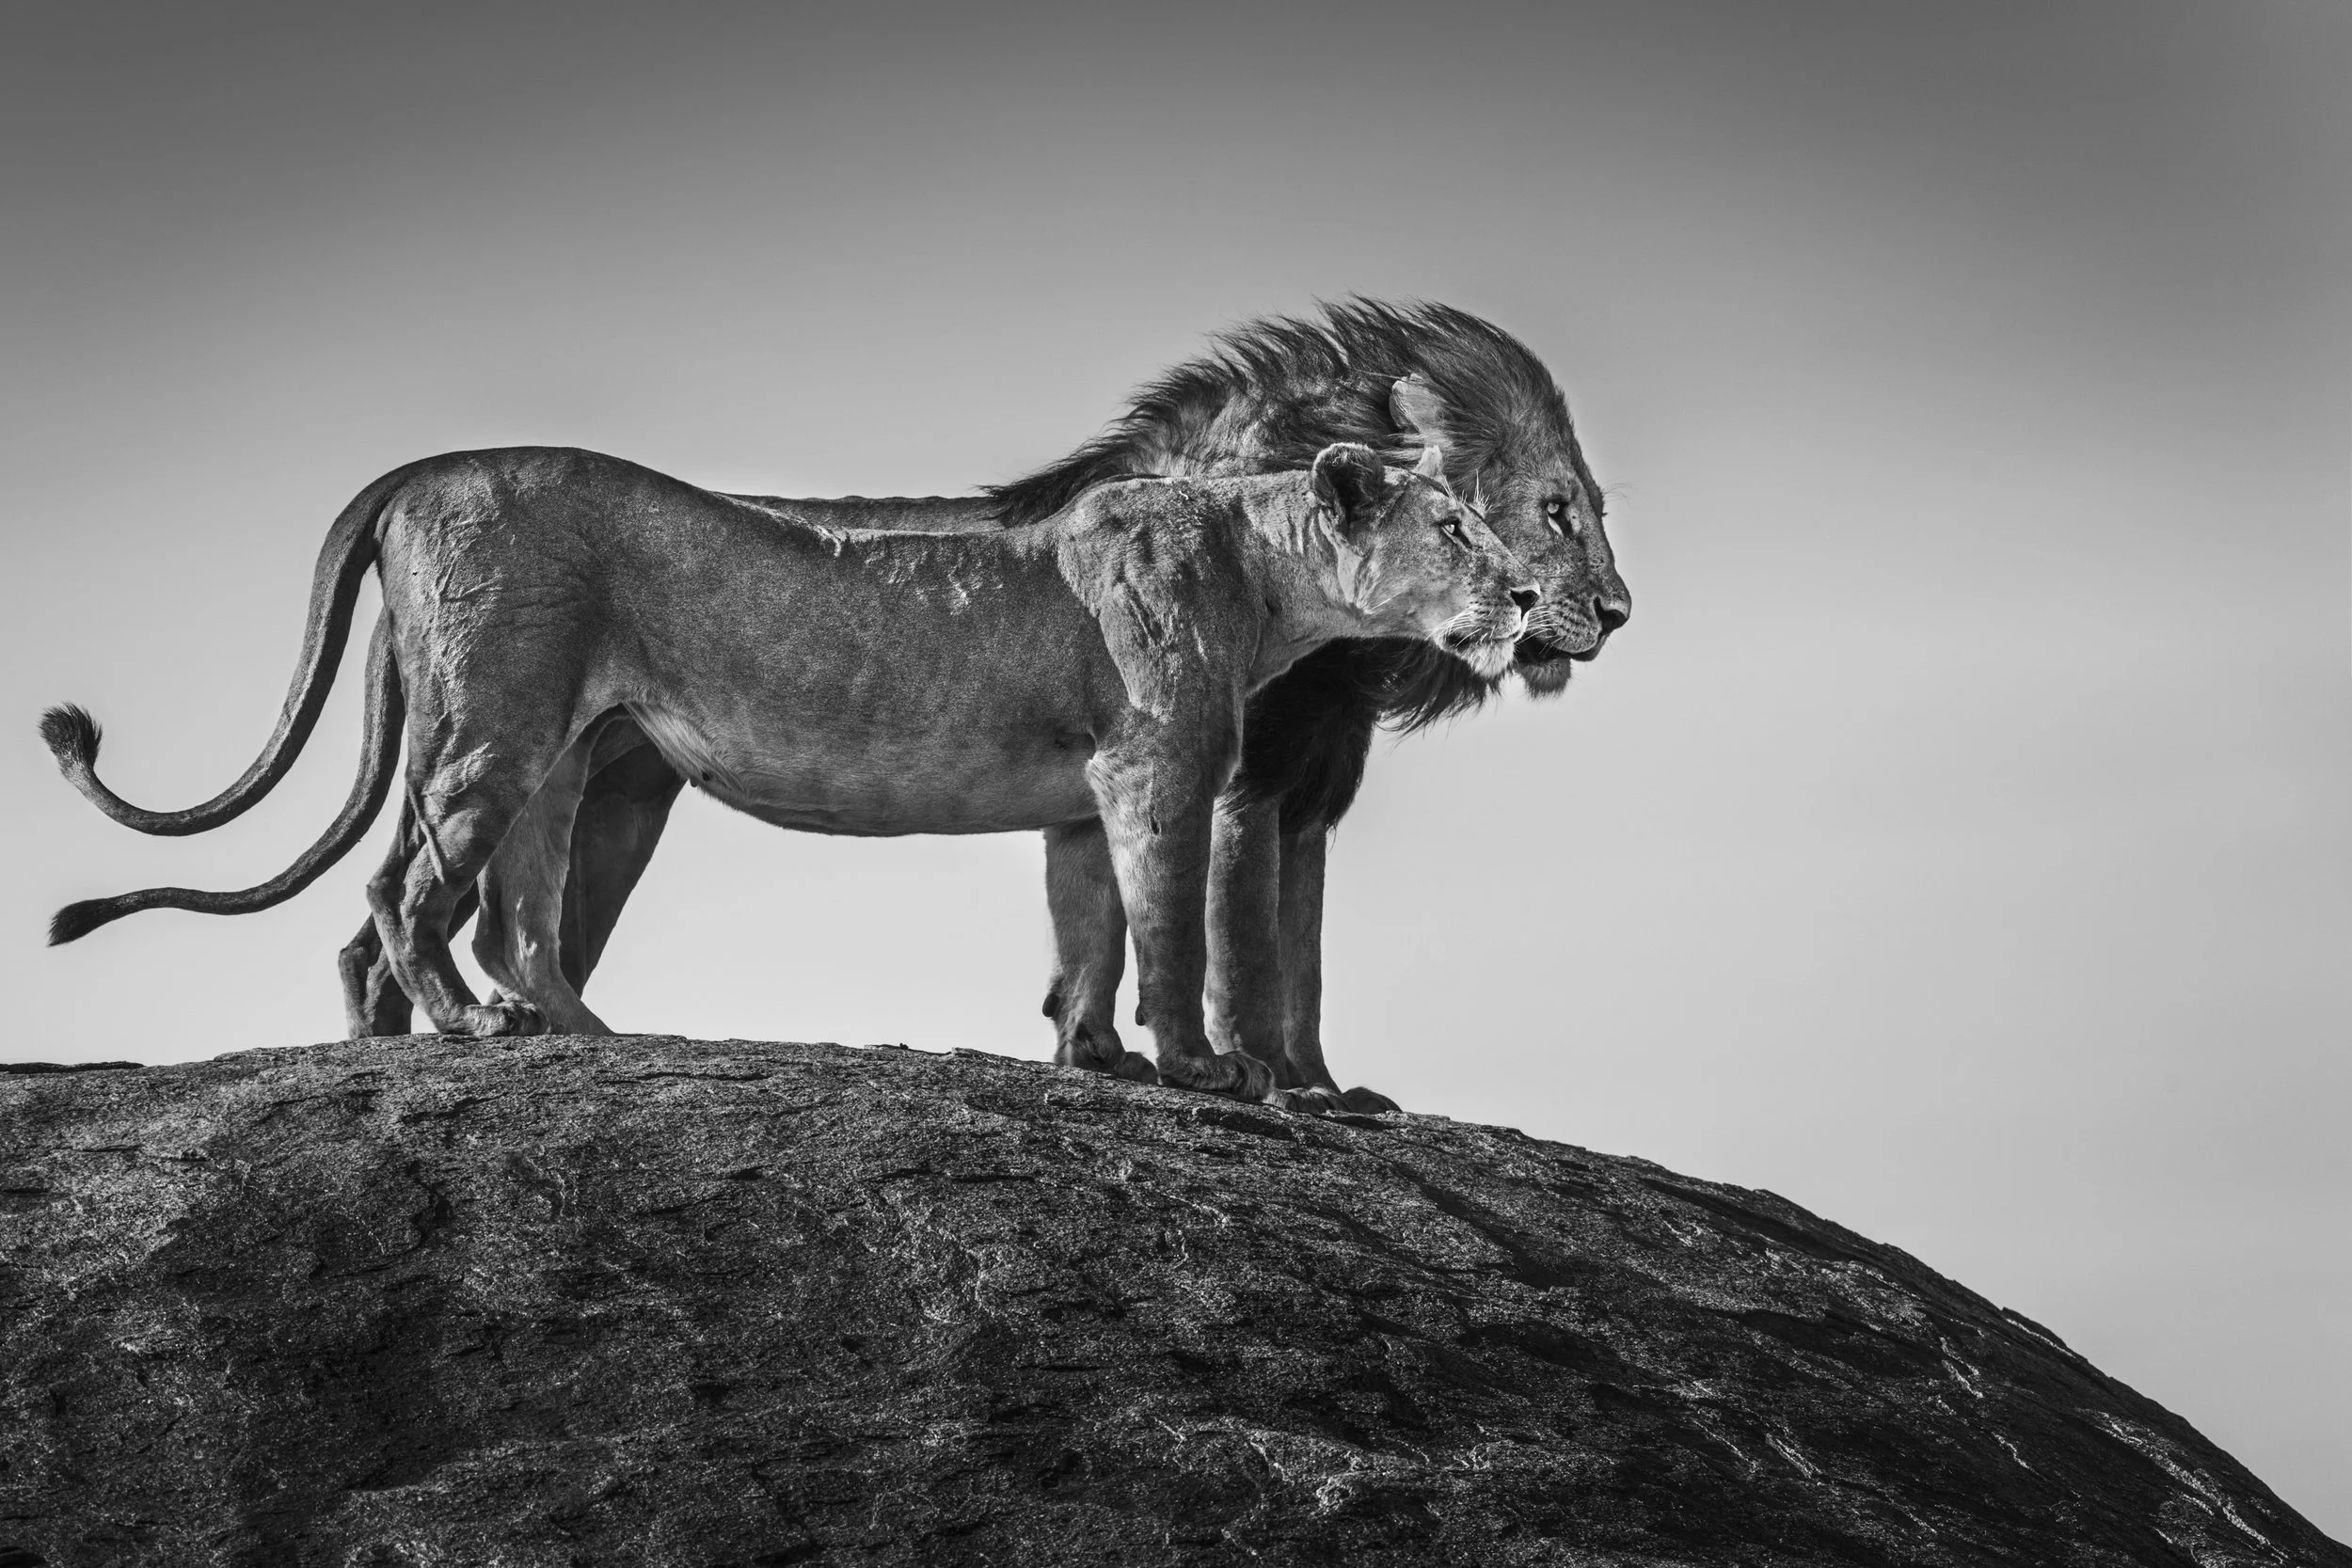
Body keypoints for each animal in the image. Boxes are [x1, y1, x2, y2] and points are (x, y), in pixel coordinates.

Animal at [44, 441, 1536, 1101]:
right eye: (1455, 526)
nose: (1527, 592)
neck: (1265, 563)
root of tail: (421, 471)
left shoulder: (1083, 797)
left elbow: (1089, 931)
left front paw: (1095, 1057)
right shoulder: (1159, 767)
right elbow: (1165, 928)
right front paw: (1201, 1070)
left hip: (562, 751)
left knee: (503, 916)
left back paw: (533, 1032)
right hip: (493, 724)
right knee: (404, 889)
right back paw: (469, 1029)